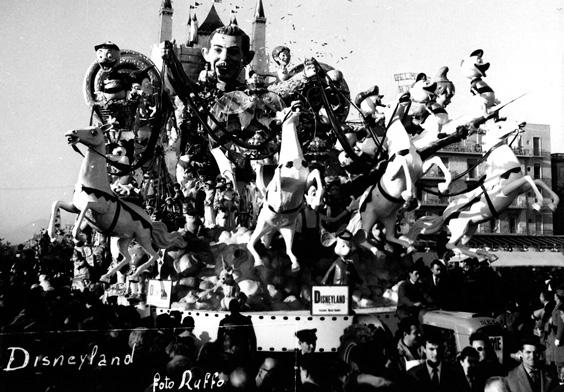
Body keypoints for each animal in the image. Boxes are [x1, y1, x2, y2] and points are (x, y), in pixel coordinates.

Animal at [48, 124, 185, 280]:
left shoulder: (100, 207)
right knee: (127, 257)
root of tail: (151, 223)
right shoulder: (74, 207)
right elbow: (56, 203)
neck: (92, 183)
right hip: (124, 240)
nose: (72, 132)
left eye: (94, 132)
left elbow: (87, 206)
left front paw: (77, 235)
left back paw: (134, 274)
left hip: (142, 238)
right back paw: (108, 275)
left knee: (154, 256)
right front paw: (53, 235)